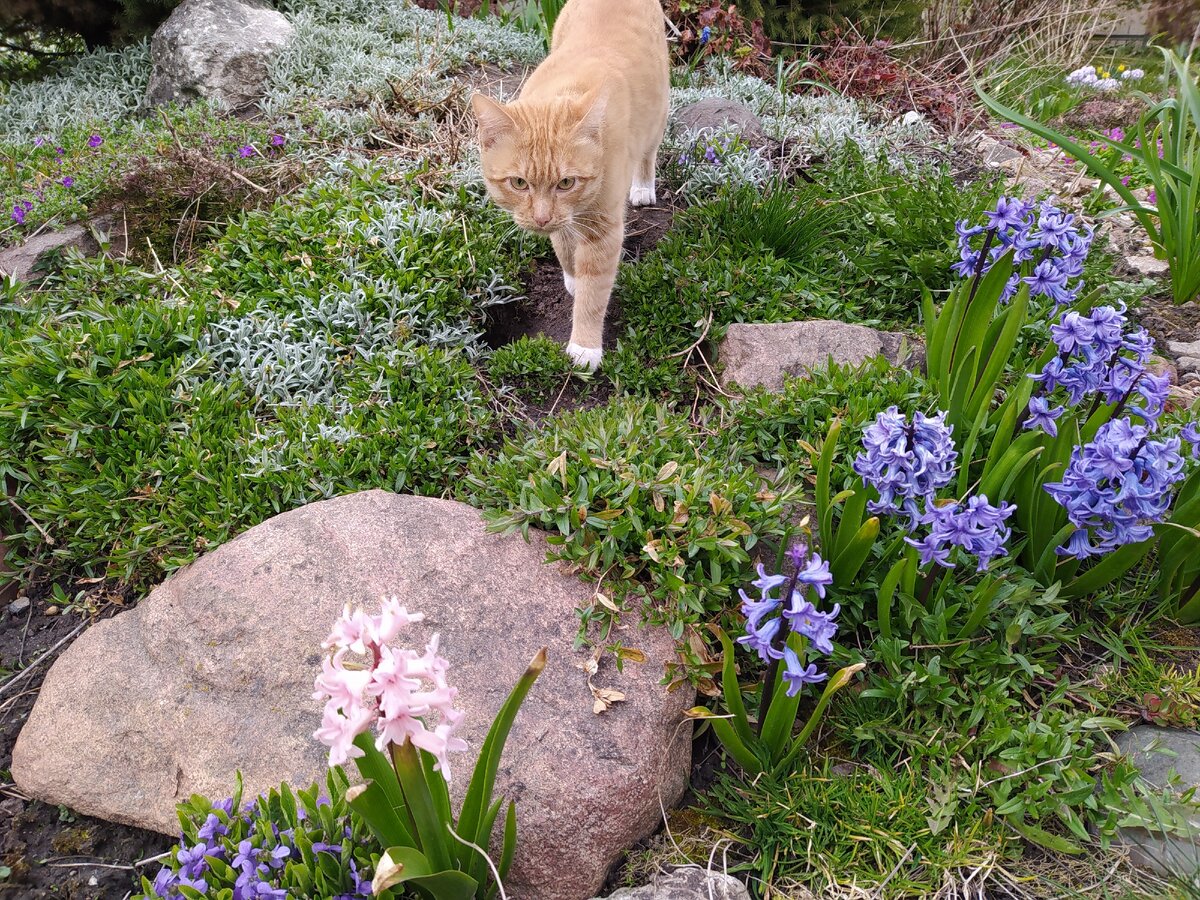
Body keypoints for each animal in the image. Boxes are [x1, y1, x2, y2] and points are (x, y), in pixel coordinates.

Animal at [468, 0, 672, 372]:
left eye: (566, 182)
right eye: (519, 183)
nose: (541, 218)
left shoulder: (603, 230)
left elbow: (594, 293)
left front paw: (585, 346)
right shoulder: (562, 221)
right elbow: (563, 246)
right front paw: (573, 276)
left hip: (658, 112)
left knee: (649, 152)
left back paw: (642, 186)